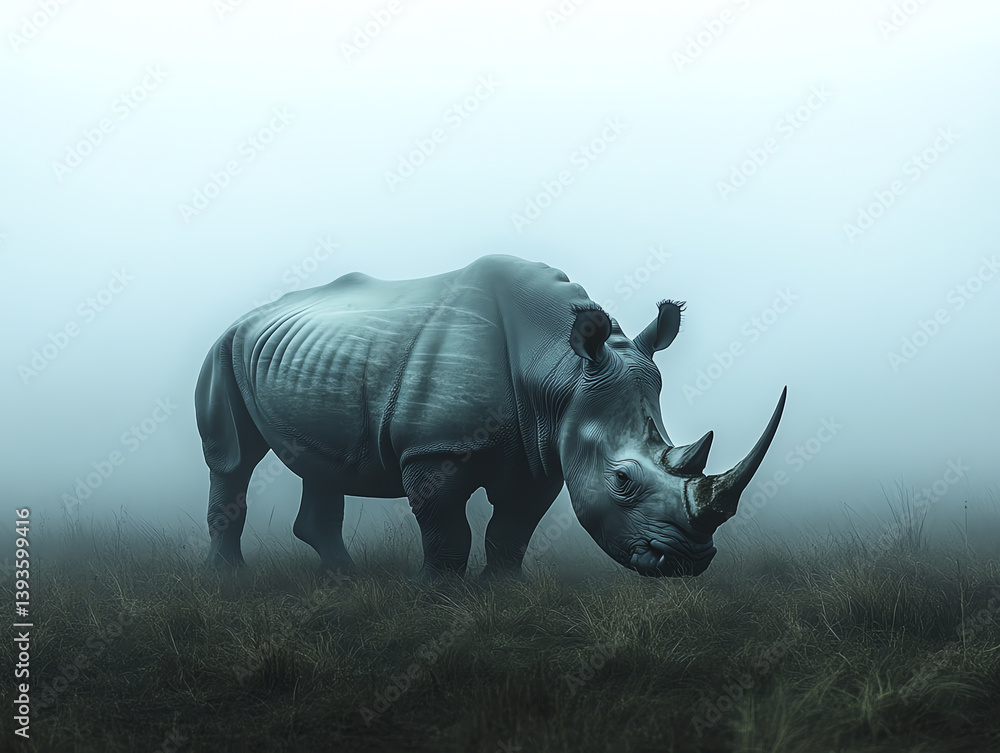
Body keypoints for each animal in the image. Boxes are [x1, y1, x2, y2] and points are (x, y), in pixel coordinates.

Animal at [195, 254, 785, 578]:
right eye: (622, 480)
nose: (691, 561)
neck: (560, 370)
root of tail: (252, 314)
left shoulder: (544, 450)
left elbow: (513, 530)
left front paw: (500, 591)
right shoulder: (434, 451)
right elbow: (446, 531)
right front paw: (435, 595)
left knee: (320, 461)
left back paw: (344, 578)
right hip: (224, 347)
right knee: (233, 460)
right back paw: (231, 579)